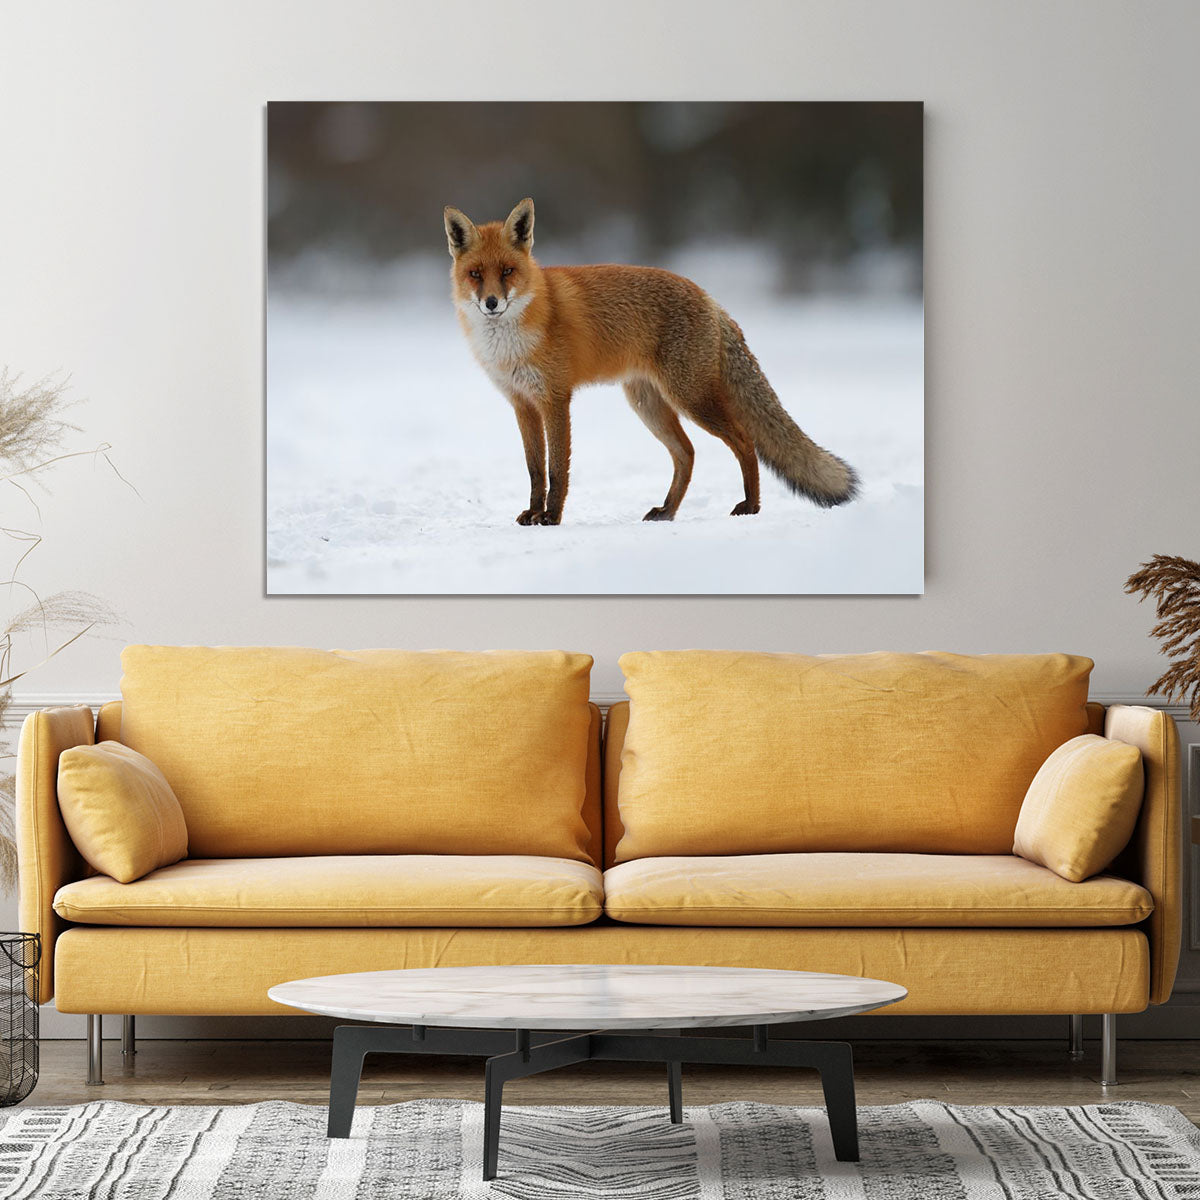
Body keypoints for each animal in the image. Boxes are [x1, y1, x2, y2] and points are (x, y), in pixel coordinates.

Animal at [443, 197, 858, 526]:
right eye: (475, 274)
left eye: (507, 272)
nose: (491, 303)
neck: (510, 343)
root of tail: (710, 299)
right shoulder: (522, 403)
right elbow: (535, 470)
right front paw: (533, 513)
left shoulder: (555, 399)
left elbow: (558, 470)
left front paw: (551, 517)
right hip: (648, 403)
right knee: (687, 454)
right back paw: (668, 511)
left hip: (691, 398)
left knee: (744, 440)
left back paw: (751, 506)